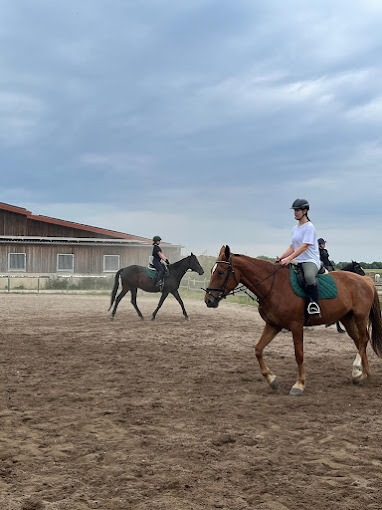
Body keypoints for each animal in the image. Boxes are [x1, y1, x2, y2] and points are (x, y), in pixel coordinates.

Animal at [204, 245, 380, 396]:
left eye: (220, 272)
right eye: (213, 271)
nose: (208, 300)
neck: (274, 286)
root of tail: (366, 281)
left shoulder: (296, 326)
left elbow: (299, 354)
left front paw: (299, 384)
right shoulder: (273, 325)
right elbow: (258, 349)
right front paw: (272, 380)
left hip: (360, 316)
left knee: (364, 339)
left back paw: (359, 371)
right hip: (347, 318)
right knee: (358, 341)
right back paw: (363, 373)